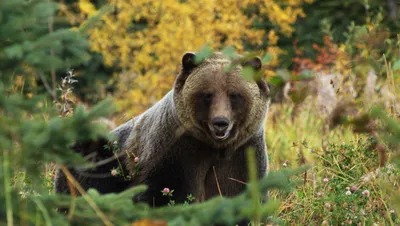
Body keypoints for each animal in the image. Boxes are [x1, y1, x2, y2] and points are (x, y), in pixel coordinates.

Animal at [54, 51, 270, 208]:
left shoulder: (242, 154)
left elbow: (238, 192)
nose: (220, 122)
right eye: (207, 94)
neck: (214, 147)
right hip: (101, 158)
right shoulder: (176, 150)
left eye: (234, 94)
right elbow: (162, 193)